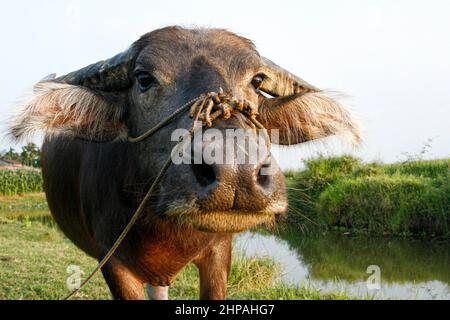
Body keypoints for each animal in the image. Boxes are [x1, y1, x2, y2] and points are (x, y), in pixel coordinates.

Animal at [10, 26, 360, 298]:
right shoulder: (111, 260)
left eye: (258, 80)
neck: (164, 226)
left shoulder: (219, 251)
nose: (236, 172)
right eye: (144, 78)